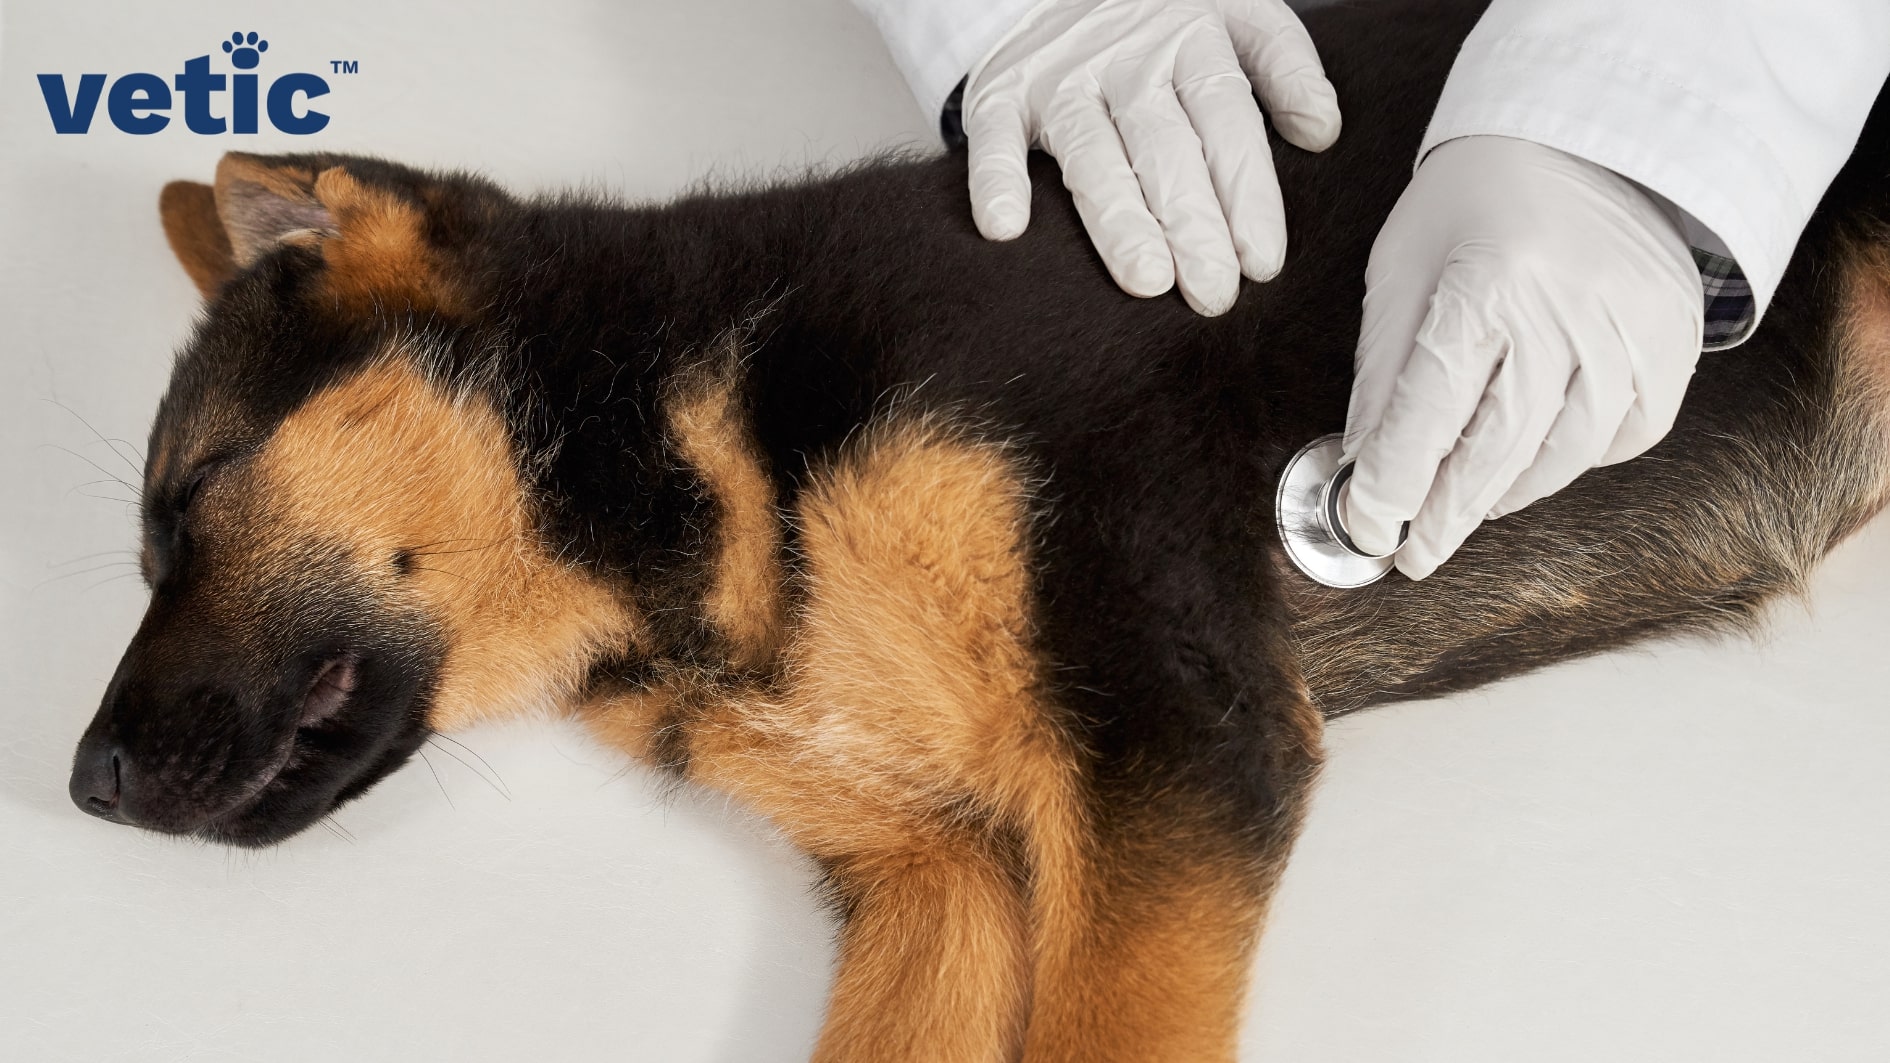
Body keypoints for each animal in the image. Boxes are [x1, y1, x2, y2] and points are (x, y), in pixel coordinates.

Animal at [66, 2, 1882, 1059]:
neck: (705, 422)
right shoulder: (945, 868)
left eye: (195, 493)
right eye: (160, 527)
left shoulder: (1175, 744)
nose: (77, 785)